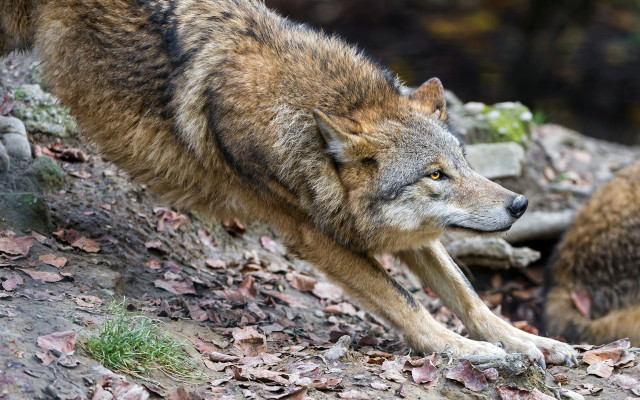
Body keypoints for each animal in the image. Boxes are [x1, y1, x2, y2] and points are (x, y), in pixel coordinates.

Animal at [1, 0, 576, 365]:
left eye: (463, 163)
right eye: (435, 175)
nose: (521, 204)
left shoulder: (397, 235)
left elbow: (468, 296)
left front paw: (529, 343)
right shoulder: (315, 237)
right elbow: (406, 302)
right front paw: (472, 353)